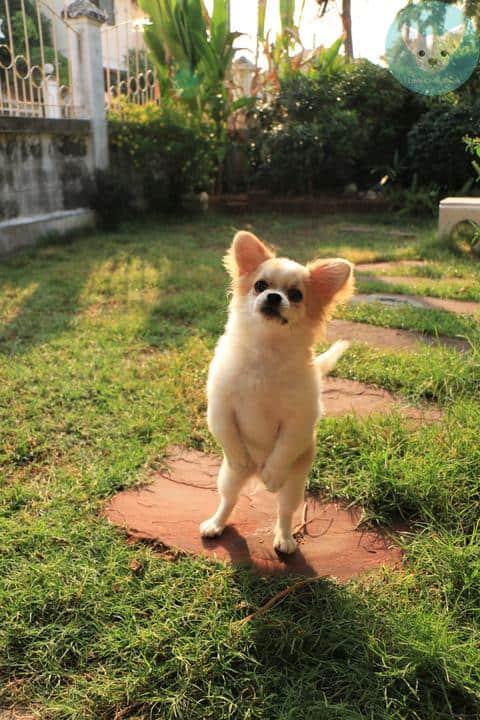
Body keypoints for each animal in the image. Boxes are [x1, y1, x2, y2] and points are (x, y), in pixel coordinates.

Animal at [199, 231, 352, 552]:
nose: (273, 296)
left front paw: (271, 473)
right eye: (260, 285)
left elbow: (283, 448)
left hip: (294, 485)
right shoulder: (220, 407)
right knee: (228, 500)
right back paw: (216, 524)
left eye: (296, 295)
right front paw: (240, 456)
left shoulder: (299, 421)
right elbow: (228, 434)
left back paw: (285, 538)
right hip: (227, 477)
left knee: (285, 511)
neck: (266, 354)